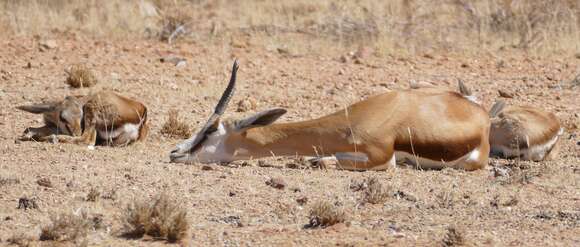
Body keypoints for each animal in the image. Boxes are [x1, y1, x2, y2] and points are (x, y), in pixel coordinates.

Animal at [18, 91, 150, 147]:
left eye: (80, 117)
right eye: (62, 117)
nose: (76, 132)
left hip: (91, 109)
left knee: (86, 140)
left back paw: (52, 138)